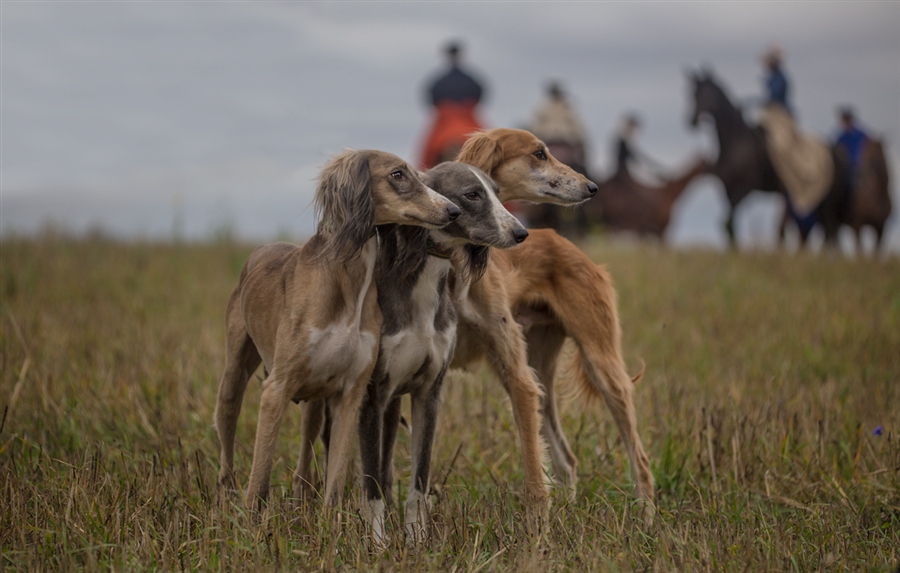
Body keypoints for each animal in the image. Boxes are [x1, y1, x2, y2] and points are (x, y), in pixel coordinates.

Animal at [214, 149, 460, 510]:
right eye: (398, 174)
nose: (453, 210)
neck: (348, 283)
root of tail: (262, 248)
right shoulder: (276, 390)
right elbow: (259, 481)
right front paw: (251, 523)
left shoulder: (351, 395)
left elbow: (335, 484)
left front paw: (330, 525)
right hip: (235, 375)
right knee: (228, 435)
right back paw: (227, 493)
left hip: (314, 401)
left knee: (304, 460)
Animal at [688, 69, 852, 248]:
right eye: (692, 94)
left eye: (704, 93)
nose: (691, 121)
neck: (734, 140)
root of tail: (837, 154)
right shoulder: (727, 189)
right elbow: (727, 223)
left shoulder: (744, 188)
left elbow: (728, 222)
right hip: (818, 201)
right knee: (827, 230)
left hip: (825, 200)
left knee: (829, 230)